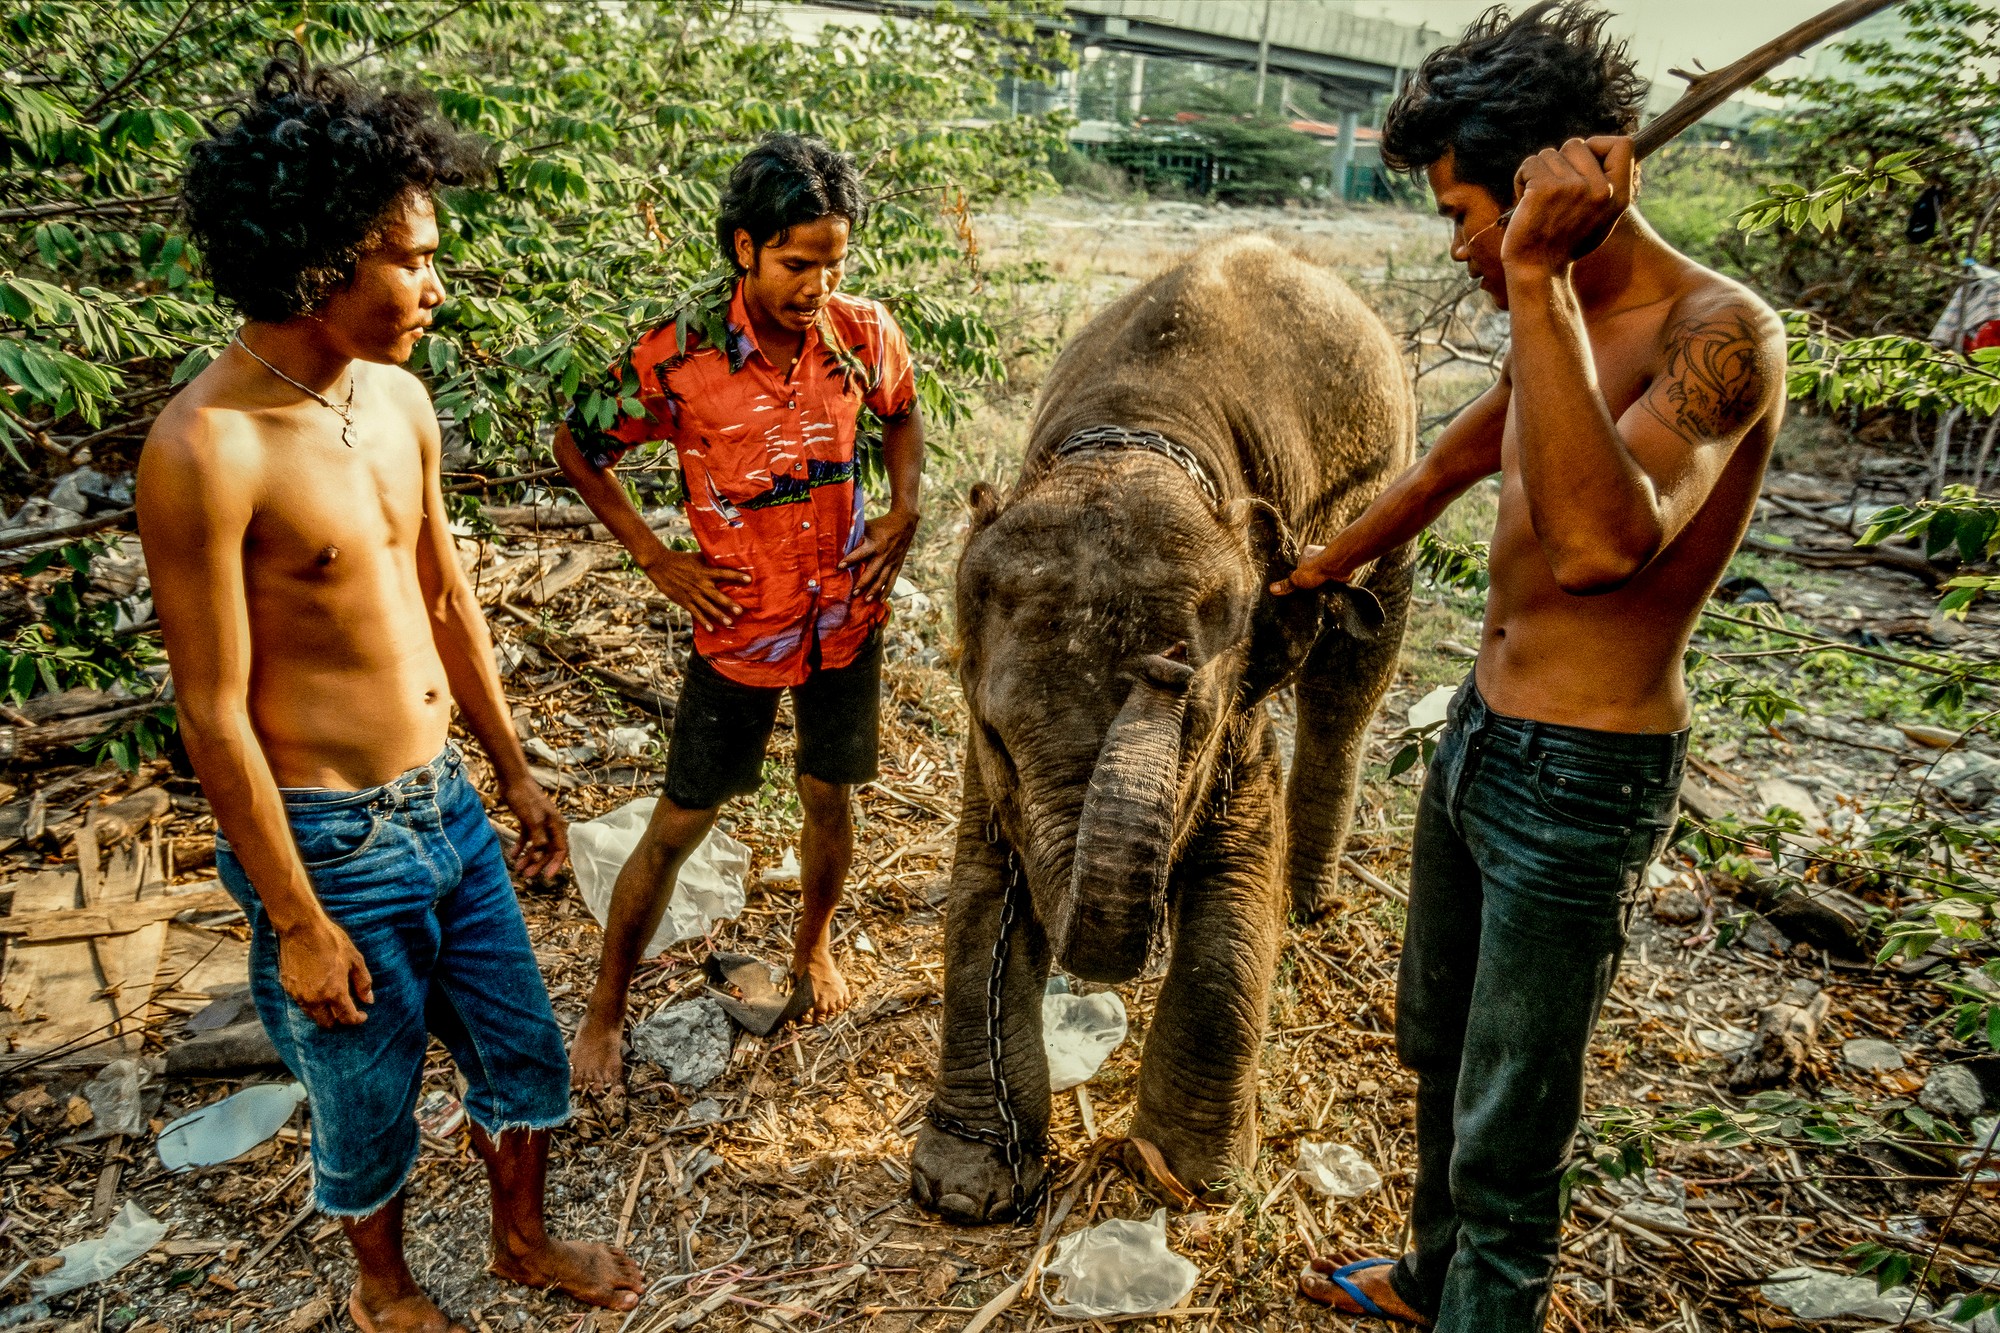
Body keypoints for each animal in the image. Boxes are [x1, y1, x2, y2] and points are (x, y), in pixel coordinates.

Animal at [909, 235, 1417, 1225]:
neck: (1134, 438)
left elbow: (1236, 882)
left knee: (1351, 681)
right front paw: (968, 1184)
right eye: (997, 734)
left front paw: (1185, 1176)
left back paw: (1308, 902)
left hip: (1393, 490)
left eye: (1194, 714)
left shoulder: (1245, 694)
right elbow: (980, 886)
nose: (1166, 666)